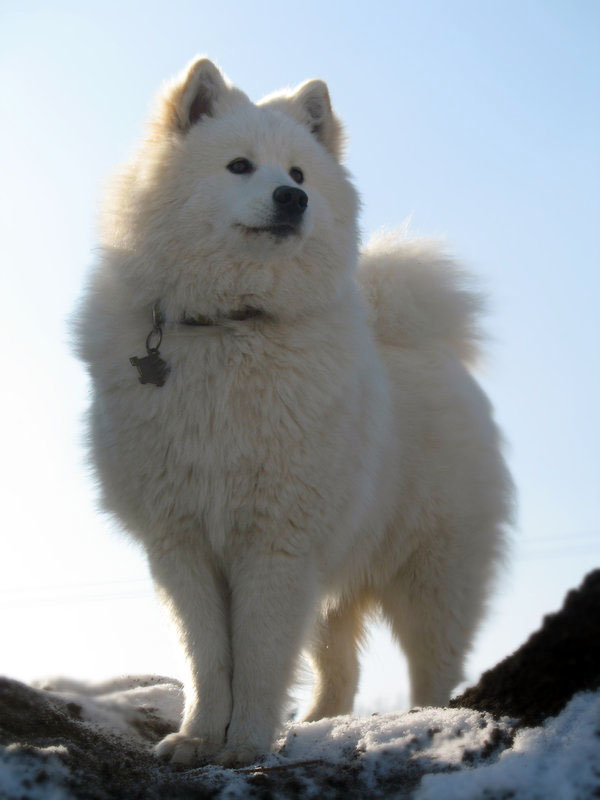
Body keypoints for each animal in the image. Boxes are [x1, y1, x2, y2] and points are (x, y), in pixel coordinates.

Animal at [75, 57, 510, 768]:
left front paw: (247, 743)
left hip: (432, 576)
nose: (292, 199)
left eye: (300, 174)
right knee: (343, 671)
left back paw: (430, 720)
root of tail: (424, 341)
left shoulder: (276, 542)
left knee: (436, 665)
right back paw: (319, 727)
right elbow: (207, 657)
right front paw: (199, 738)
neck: (232, 325)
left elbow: (257, 657)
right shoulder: (181, 543)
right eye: (240, 166)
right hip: (336, 586)